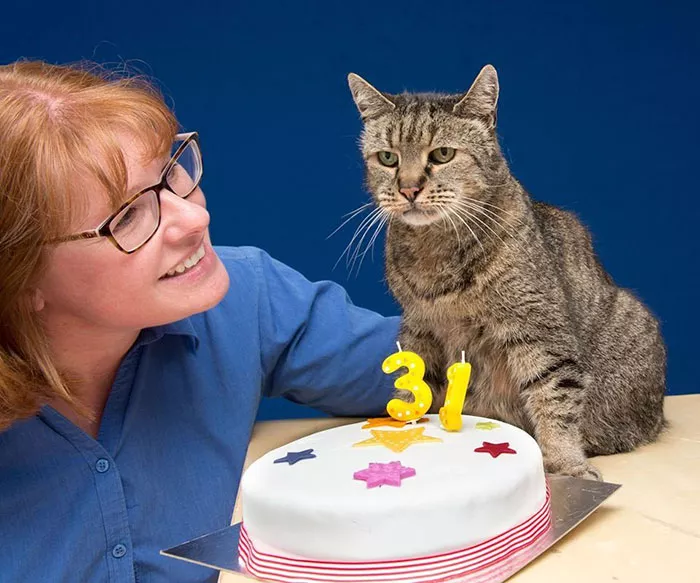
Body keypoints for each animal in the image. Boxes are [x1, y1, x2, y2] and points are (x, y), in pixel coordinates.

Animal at [350, 66, 668, 482]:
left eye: (442, 154)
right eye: (388, 158)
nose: (408, 188)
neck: (435, 250)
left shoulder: (538, 329)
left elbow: (554, 398)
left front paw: (566, 463)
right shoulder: (419, 328)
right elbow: (411, 390)